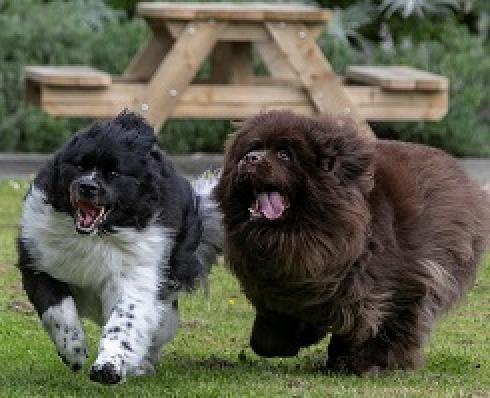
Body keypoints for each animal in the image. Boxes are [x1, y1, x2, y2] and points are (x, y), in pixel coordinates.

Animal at [17, 111, 223, 382]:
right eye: (80, 166)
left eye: (114, 173)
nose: (87, 186)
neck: (97, 236)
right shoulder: (37, 262)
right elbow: (57, 309)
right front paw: (73, 350)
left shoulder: (137, 276)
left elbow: (125, 321)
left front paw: (108, 367)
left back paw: (141, 365)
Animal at [215, 110, 490, 374]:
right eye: (252, 149)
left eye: (284, 155)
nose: (250, 159)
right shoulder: (286, 287)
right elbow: (269, 334)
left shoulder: (400, 282)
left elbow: (383, 324)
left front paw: (367, 364)